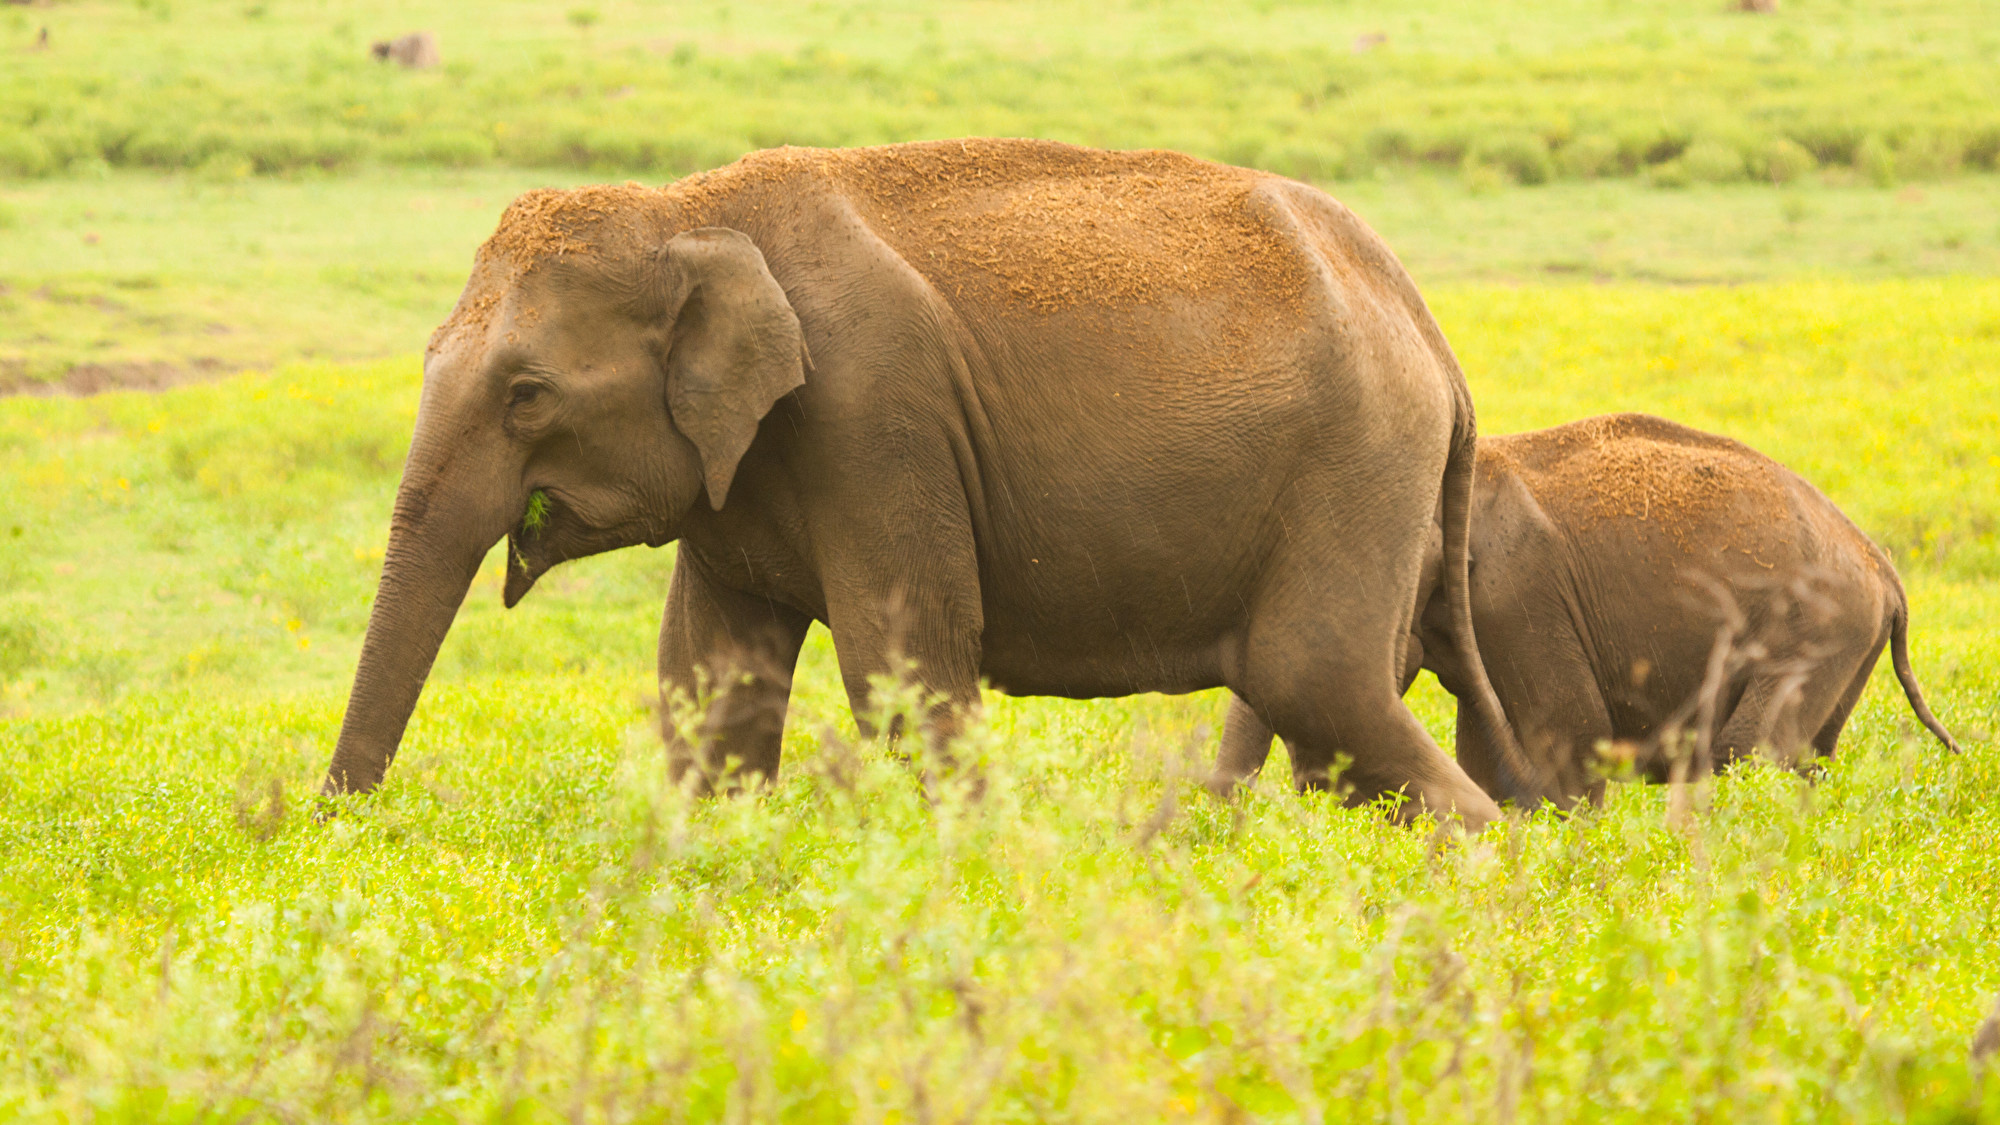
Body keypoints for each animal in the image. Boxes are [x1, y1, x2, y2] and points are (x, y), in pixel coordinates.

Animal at [320, 138, 1520, 824]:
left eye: (525, 395)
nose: (341, 827)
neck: (689, 209)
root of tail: (1428, 327)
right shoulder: (744, 463)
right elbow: (712, 686)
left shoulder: (873, 414)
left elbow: (906, 672)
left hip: (1358, 455)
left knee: (1309, 674)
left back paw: (1490, 864)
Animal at [1208, 412, 1960, 804]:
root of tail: (1886, 571)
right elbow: (1487, 751)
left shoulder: (1521, 594)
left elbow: (1570, 733)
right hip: (1844, 644)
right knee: (1805, 757)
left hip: (1818, 628)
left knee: (1748, 752)